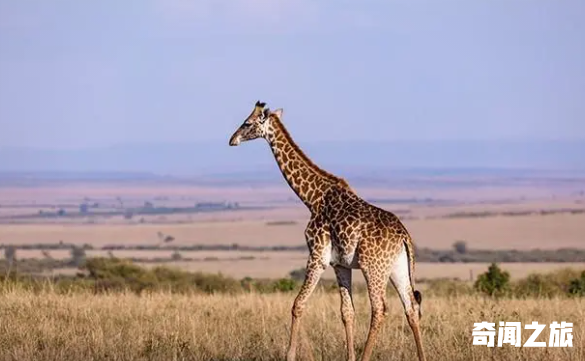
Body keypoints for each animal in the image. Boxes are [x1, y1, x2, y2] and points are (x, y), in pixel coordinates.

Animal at [228, 100, 424, 360]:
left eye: (247, 123)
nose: (232, 140)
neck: (312, 198)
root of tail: (404, 236)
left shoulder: (317, 256)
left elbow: (297, 304)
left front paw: (290, 355)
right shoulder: (340, 264)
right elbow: (347, 312)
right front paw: (349, 357)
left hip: (374, 267)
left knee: (380, 308)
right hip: (397, 267)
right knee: (411, 308)